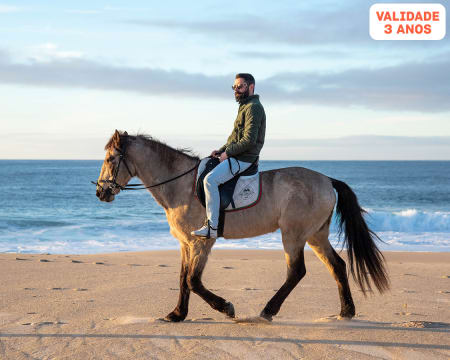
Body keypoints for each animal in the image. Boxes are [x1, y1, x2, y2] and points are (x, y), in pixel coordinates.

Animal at [93, 131, 388, 322]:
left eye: (110, 159)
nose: (100, 193)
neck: (180, 185)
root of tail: (327, 180)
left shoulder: (202, 242)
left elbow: (193, 280)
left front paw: (226, 307)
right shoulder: (186, 243)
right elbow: (182, 279)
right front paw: (177, 314)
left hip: (293, 235)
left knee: (296, 271)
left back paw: (268, 311)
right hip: (316, 235)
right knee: (337, 265)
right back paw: (346, 311)